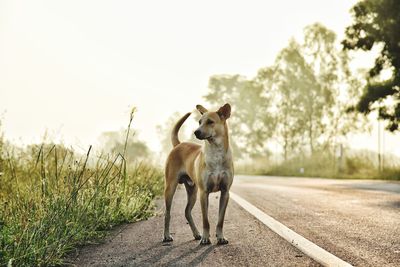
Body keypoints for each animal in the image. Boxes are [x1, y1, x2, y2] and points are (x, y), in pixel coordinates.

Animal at [162, 103, 234, 246]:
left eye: (210, 122)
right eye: (199, 122)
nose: (196, 132)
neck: (216, 151)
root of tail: (178, 145)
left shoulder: (225, 192)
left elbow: (220, 220)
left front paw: (220, 237)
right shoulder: (204, 193)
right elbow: (206, 220)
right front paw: (206, 238)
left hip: (192, 191)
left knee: (187, 212)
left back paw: (196, 233)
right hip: (170, 188)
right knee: (167, 214)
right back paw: (167, 236)